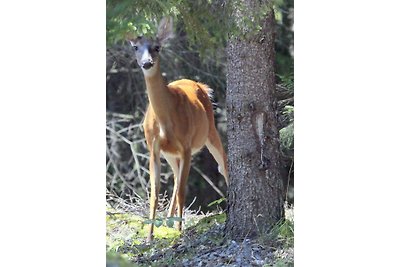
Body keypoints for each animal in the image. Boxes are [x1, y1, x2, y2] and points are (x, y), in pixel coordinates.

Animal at [128, 16, 228, 243]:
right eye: (136, 47)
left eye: (157, 47)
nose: (147, 63)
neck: (166, 122)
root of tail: (200, 84)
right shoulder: (153, 149)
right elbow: (155, 193)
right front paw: (150, 237)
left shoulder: (187, 146)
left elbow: (183, 190)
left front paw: (181, 232)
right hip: (170, 153)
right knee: (174, 178)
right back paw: (169, 219)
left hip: (210, 131)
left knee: (224, 164)